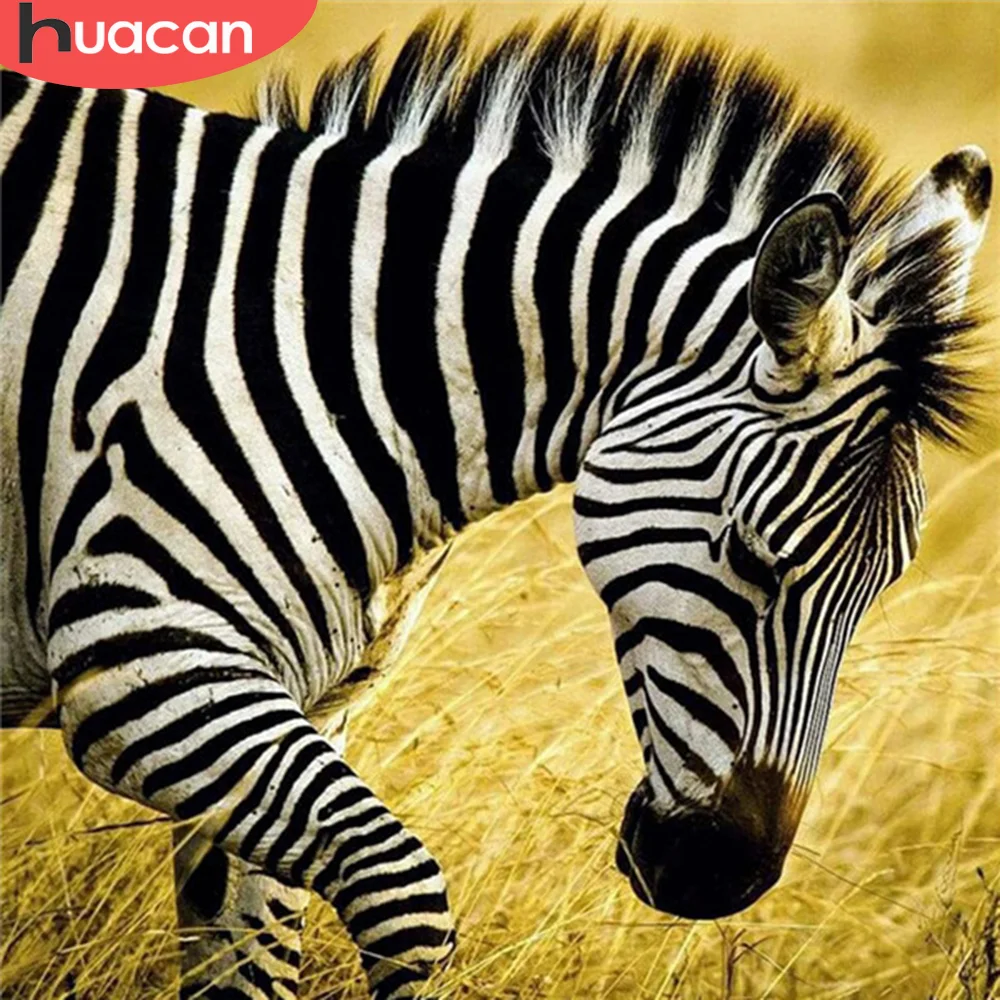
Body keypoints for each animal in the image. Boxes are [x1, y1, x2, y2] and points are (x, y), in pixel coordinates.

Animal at [1, 13, 991, 999]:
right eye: (752, 555)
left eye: (875, 594)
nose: (723, 882)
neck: (338, 346)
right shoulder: (142, 654)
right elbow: (405, 896)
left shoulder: (305, 702)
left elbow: (250, 960)